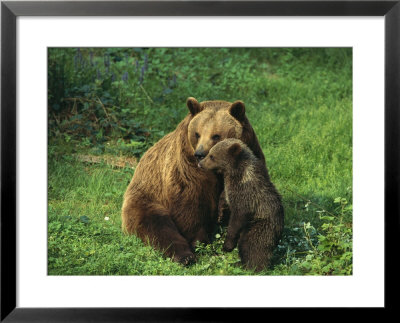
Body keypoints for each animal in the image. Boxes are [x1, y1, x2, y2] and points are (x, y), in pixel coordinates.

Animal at [122, 98, 266, 266]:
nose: (200, 154)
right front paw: (201, 243)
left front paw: (223, 211)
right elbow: (191, 206)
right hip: (147, 197)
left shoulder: (249, 153)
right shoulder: (187, 169)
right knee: (157, 225)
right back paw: (185, 256)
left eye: (216, 135)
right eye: (197, 133)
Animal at [198, 138, 282, 272]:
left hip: (261, 226)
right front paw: (220, 214)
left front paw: (227, 246)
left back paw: (249, 266)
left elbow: (237, 219)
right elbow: (223, 198)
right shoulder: (230, 188)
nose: (200, 163)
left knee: (252, 245)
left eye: (212, 156)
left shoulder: (246, 197)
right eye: (210, 153)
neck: (236, 174)